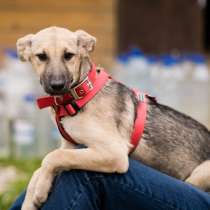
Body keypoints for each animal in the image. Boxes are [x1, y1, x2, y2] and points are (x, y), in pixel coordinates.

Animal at [16, 26, 210, 210]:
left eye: (68, 55)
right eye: (41, 56)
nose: (57, 86)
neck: (83, 93)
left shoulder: (113, 153)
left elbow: (53, 156)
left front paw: (40, 191)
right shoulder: (71, 145)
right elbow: (39, 169)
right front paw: (31, 199)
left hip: (199, 174)